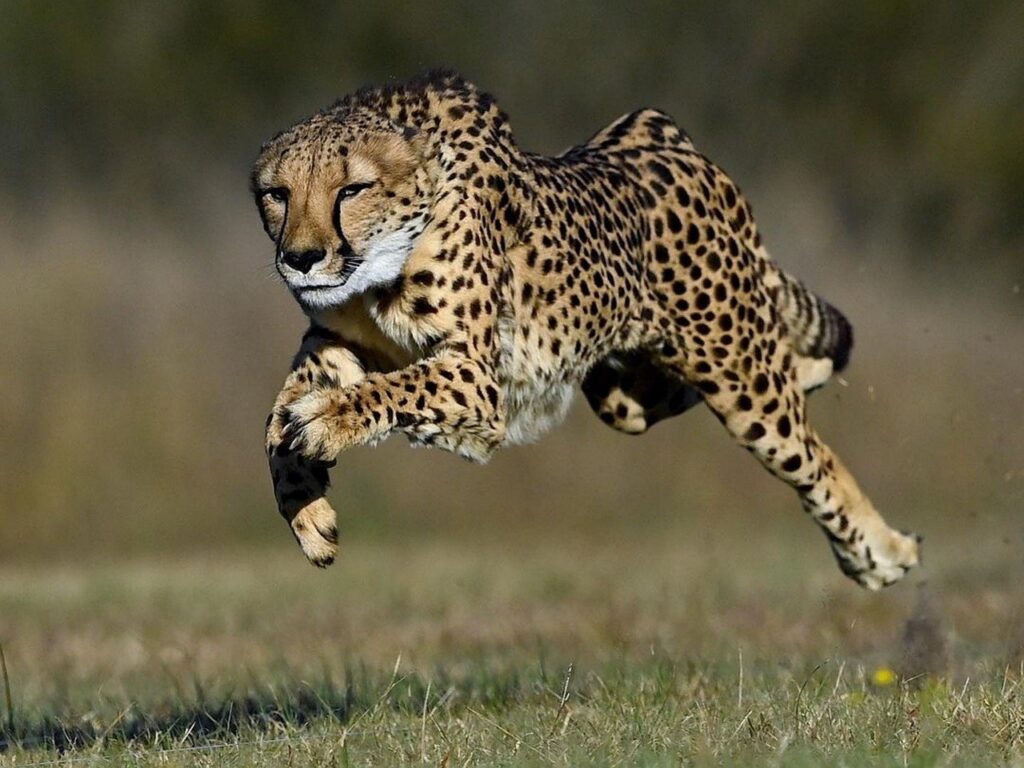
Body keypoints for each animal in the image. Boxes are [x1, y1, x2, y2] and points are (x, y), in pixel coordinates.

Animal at [253, 70, 921, 589]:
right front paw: (305, 507)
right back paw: (812, 371)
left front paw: (325, 422)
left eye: (352, 189)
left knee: (814, 456)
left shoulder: (477, 379)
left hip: (740, 377)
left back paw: (883, 553)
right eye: (277, 194)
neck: (377, 270)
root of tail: (663, 134)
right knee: (685, 392)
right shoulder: (334, 341)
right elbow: (276, 418)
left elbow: (385, 391)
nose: (301, 259)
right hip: (620, 391)